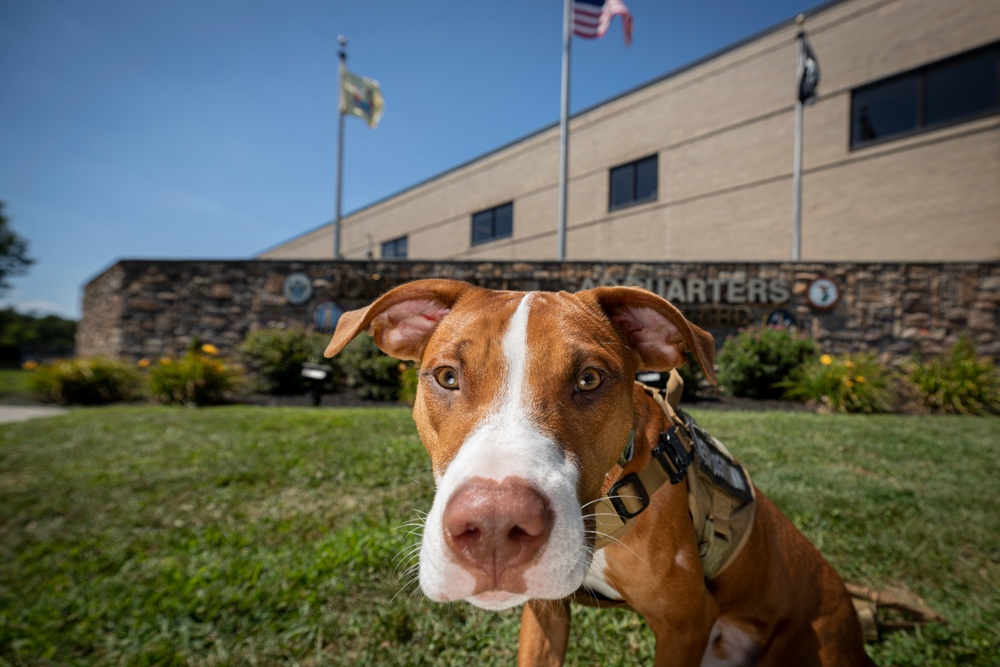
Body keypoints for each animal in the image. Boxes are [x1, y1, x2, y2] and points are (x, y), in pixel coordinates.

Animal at [324, 280, 872, 667]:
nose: (495, 528)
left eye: (589, 379)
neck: (609, 494)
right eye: (446, 377)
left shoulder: (686, 624)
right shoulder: (545, 614)